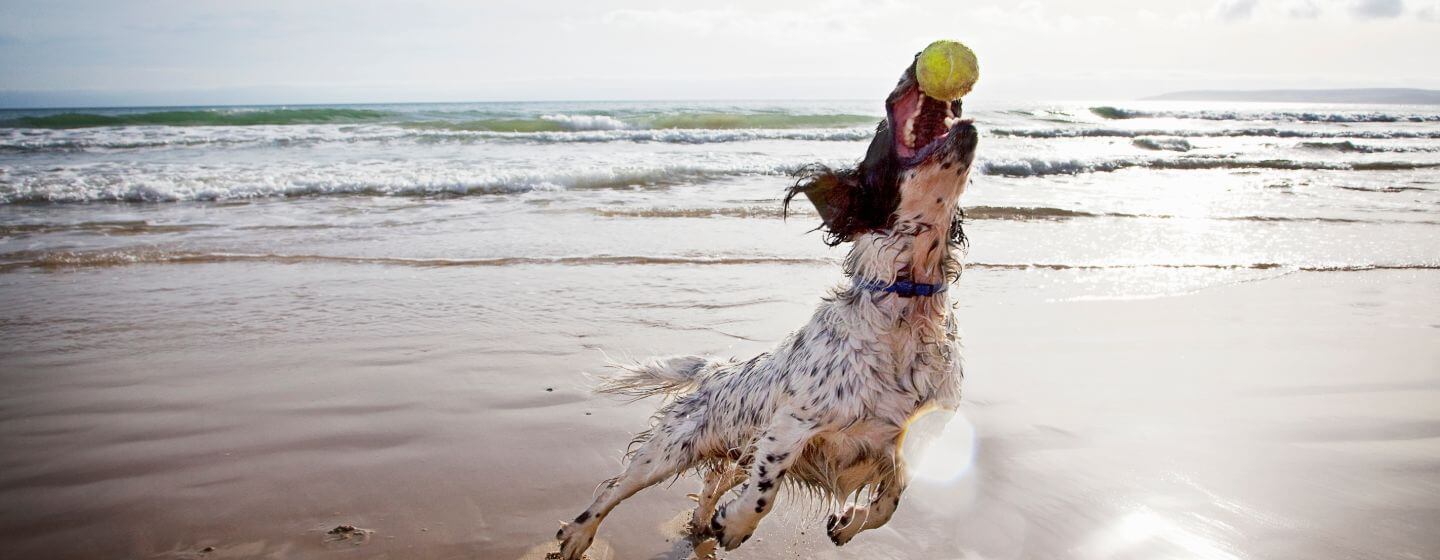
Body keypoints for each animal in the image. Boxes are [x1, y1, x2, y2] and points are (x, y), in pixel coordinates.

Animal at [552, 53, 979, 558]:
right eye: (880, 130)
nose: (916, 59)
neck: (906, 310)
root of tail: (715, 371)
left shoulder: (911, 440)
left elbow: (888, 504)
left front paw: (846, 523)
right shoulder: (790, 426)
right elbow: (763, 491)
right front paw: (737, 523)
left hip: (732, 451)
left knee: (713, 480)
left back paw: (701, 525)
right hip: (669, 449)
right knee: (613, 490)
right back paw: (579, 536)